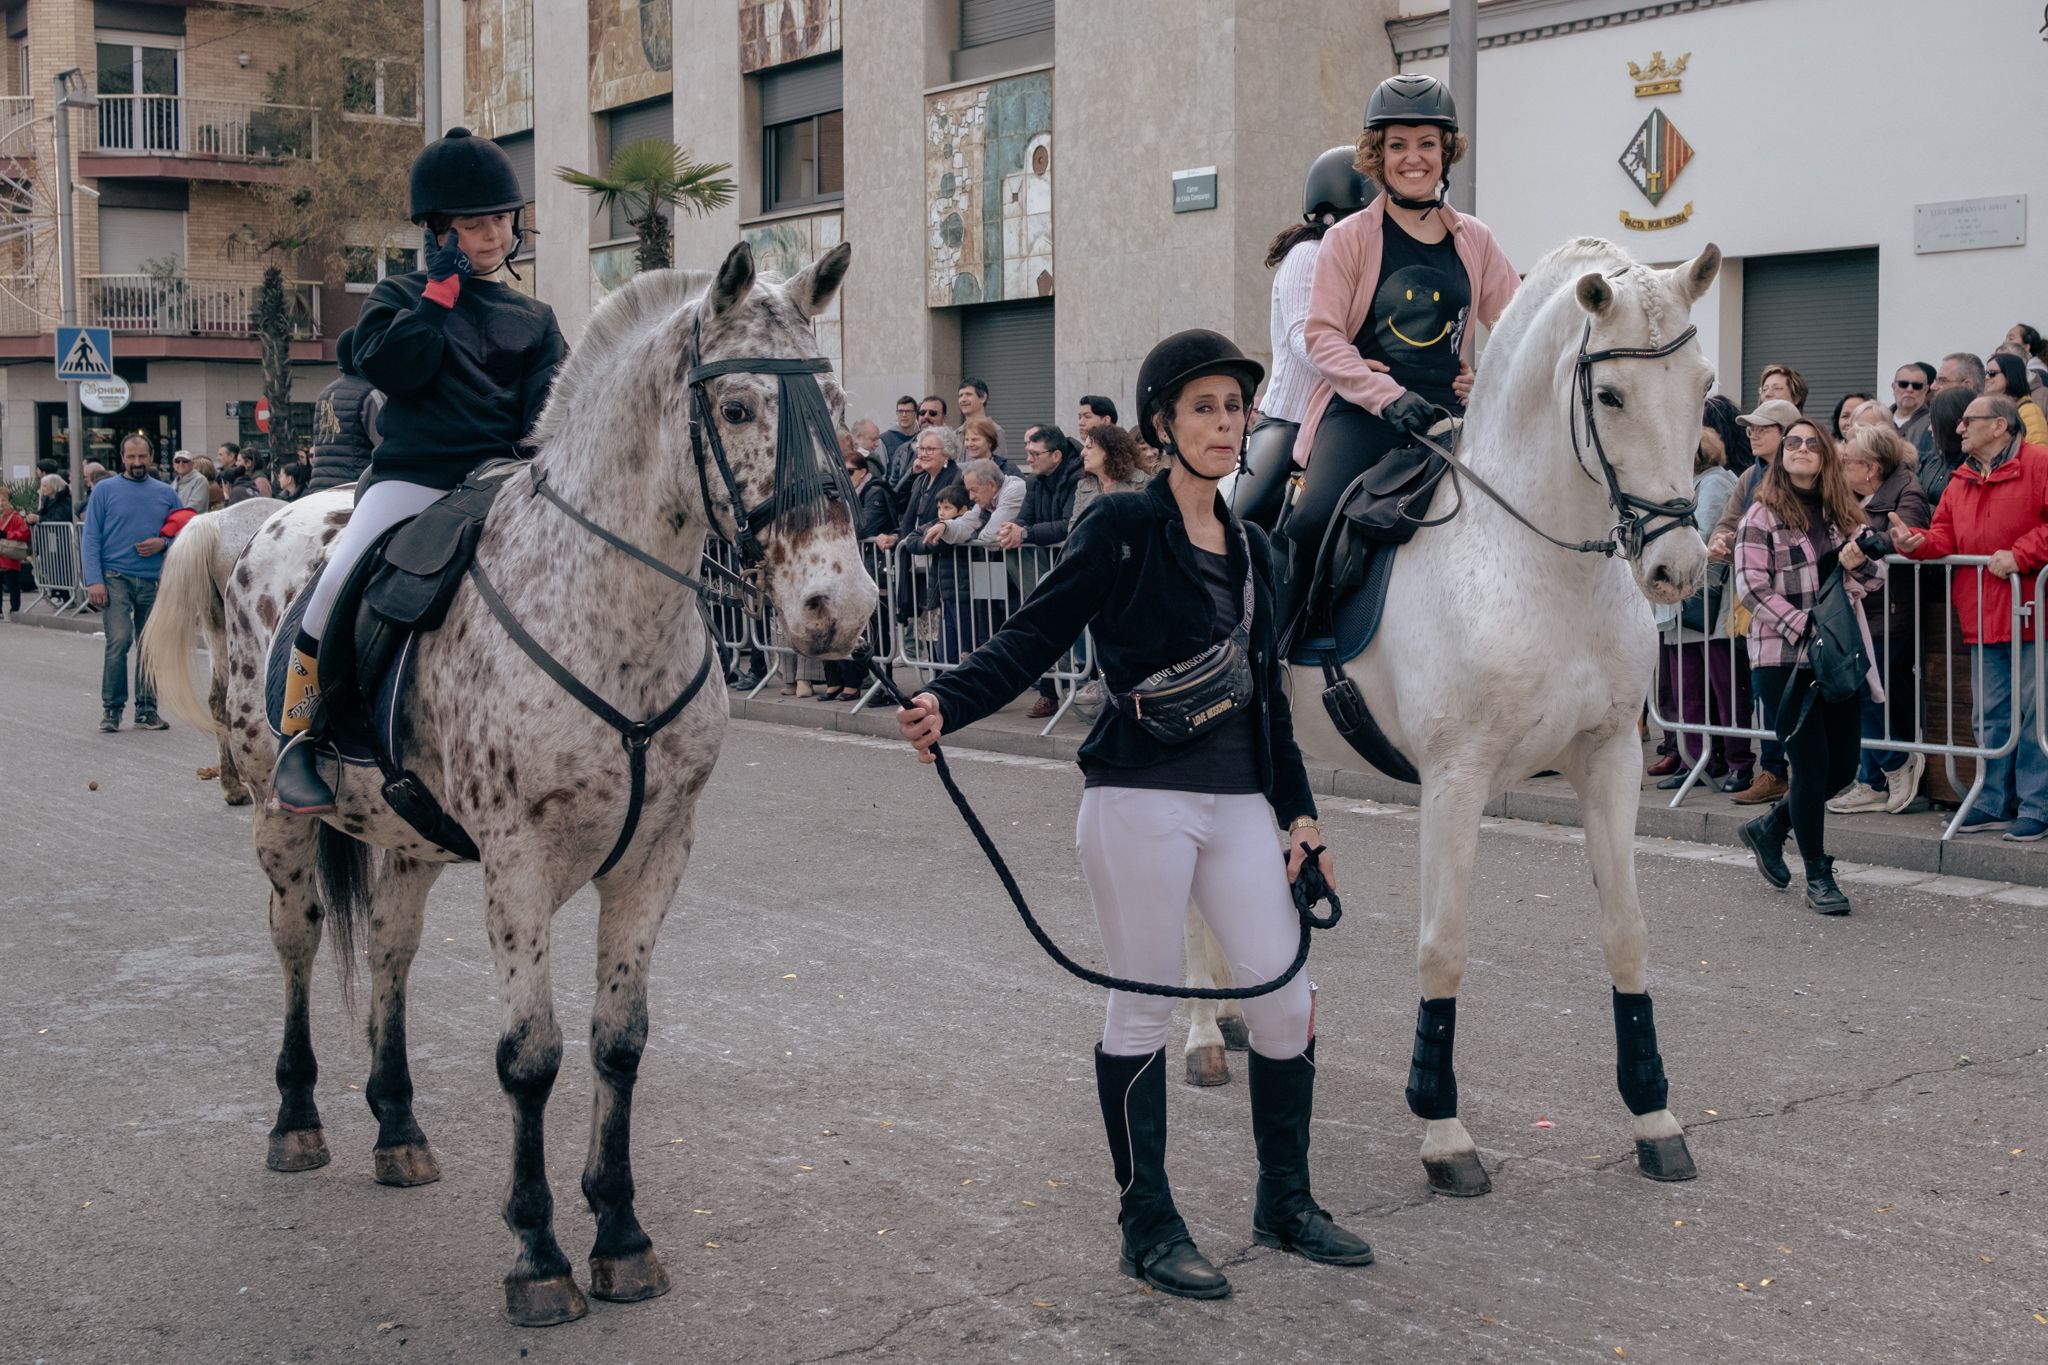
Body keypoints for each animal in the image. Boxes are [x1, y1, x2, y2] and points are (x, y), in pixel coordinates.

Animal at [140, 242, 876, 1326]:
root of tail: (264, 516)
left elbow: (618, 1042)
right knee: (297, 944)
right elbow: (530, 1055)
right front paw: (538, 1254)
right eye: (738, 407)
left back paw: (397, 1129)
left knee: (391, 956)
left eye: (834, 406)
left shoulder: (654, 858)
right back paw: (297, 1118)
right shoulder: (518, 865)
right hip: (282, 822)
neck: (609, 611)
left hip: (406, 842)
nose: (841, 606)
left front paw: (620, 1235)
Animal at [1187, 237, 1728, 1195]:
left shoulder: (1610, 760)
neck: (1538, 560)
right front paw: (1442, 1128)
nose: (1678, 567)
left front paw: (1655, 1115)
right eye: (1612, 396)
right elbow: (1442, 945)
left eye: (1702, 383)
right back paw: (1200, 1034)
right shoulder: (1455, 776)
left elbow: (1626, 933)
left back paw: (1235, 1016)